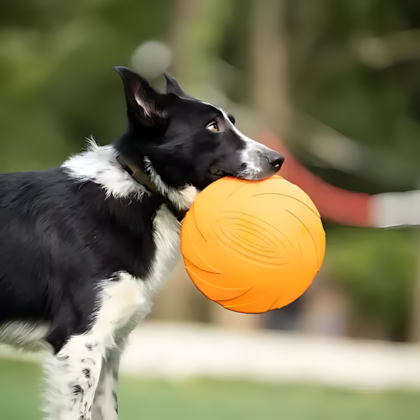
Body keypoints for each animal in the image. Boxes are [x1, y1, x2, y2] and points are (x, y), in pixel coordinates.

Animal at [0, 67, 284, 418]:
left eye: (232, 121)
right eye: (212, 126)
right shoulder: (80, 342)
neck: (144, 186)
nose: (278, 159)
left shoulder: (110, 348)